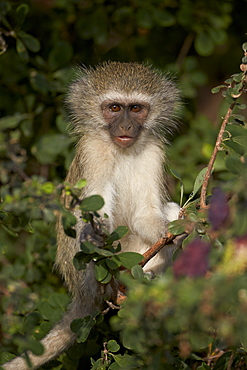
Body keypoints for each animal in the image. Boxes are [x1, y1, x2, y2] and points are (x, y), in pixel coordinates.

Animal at [2, 62, 180, 368]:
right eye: (114, 108)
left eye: (136, 109)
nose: (125, 126)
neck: (122, 149)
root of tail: (81, 295)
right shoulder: (92, 151)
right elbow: (92, 210)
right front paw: (93, 235)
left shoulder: (154, 151)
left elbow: (146, 215)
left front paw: (168, 232)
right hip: (82, 274)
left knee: (173, 209)